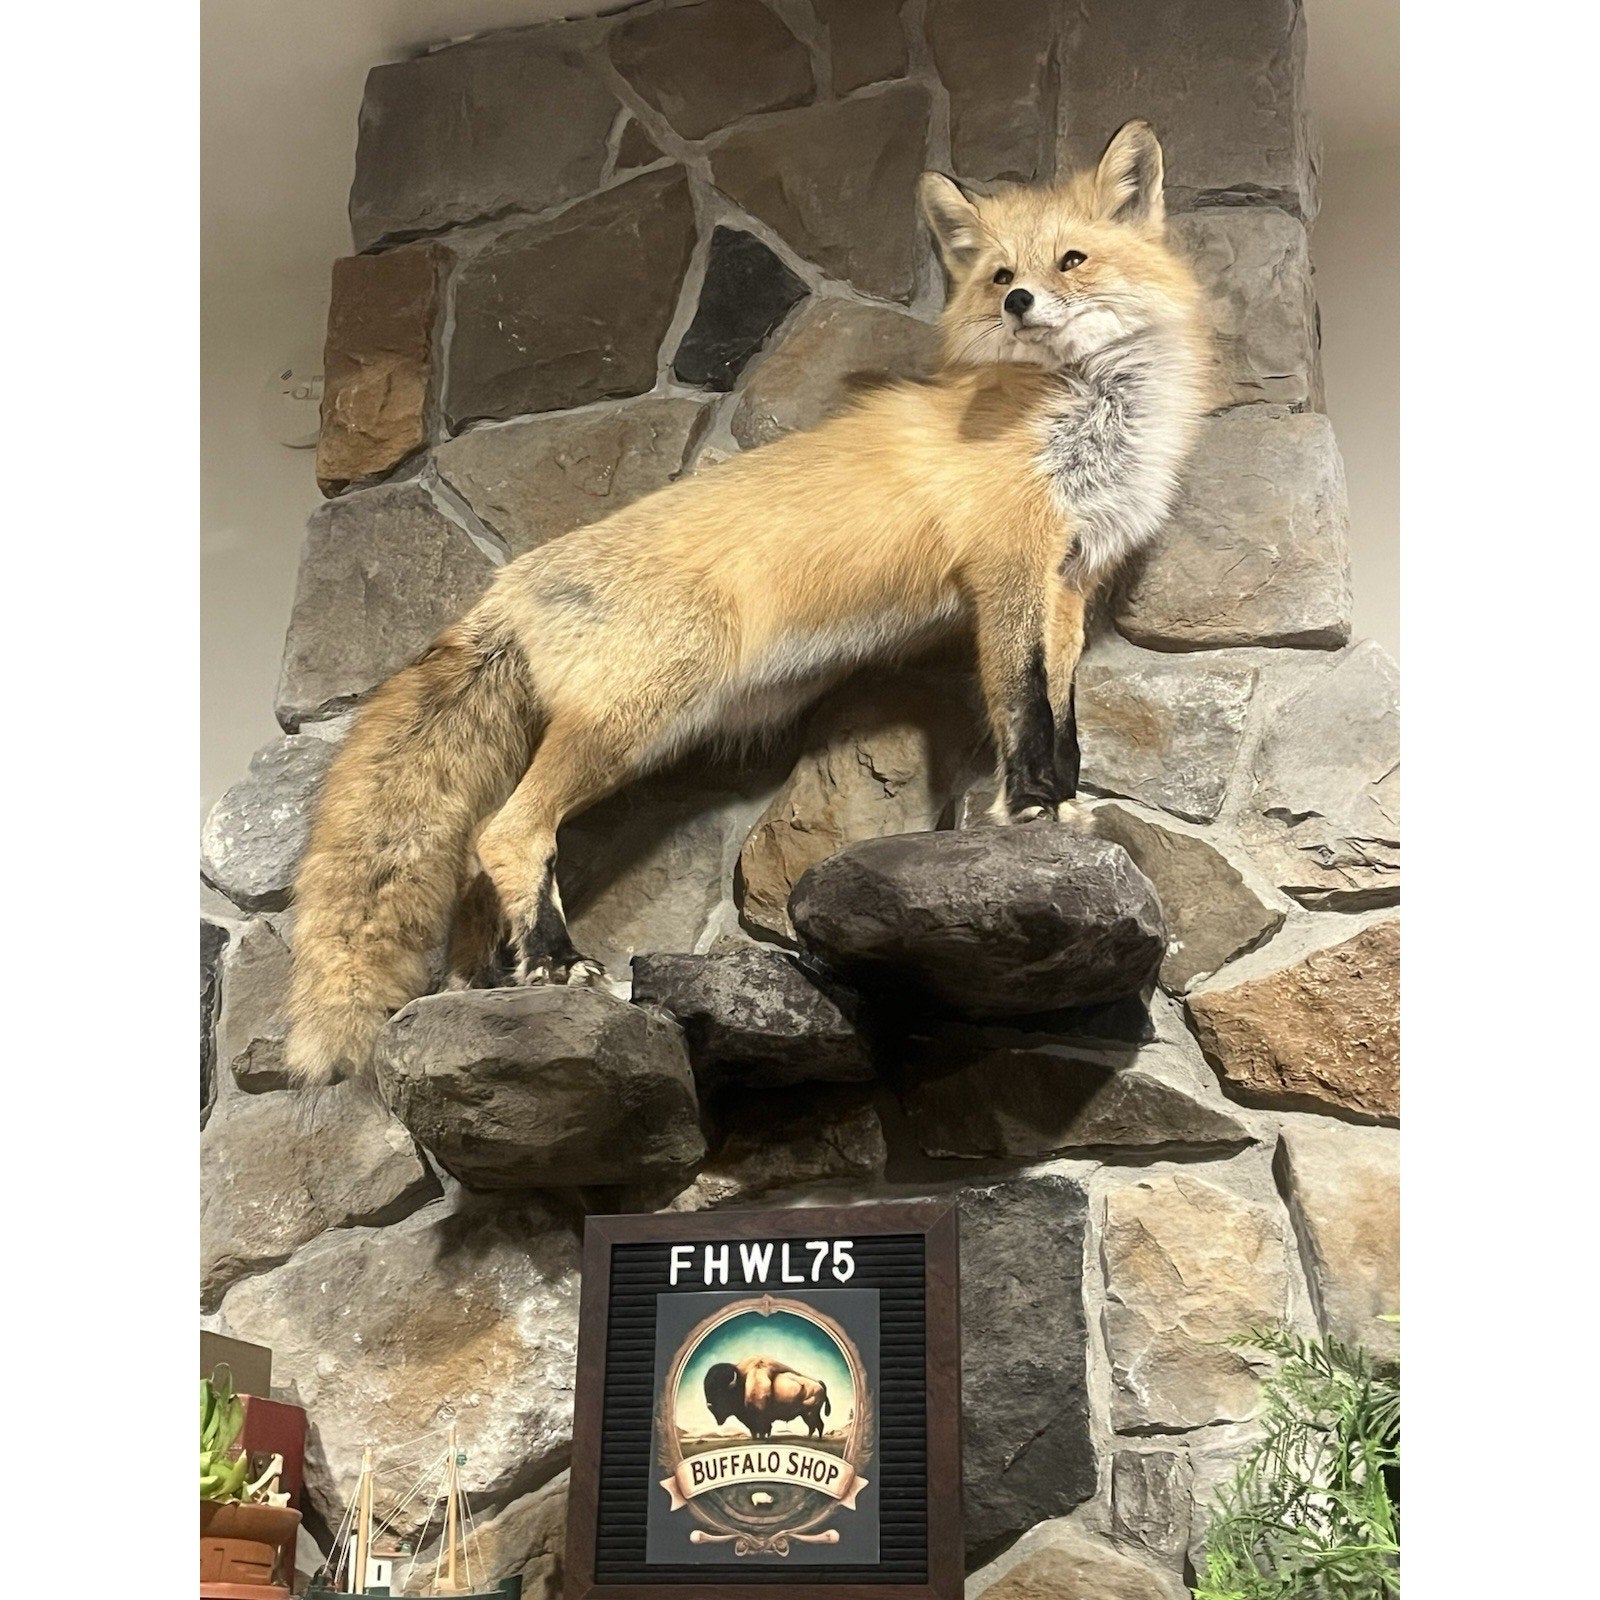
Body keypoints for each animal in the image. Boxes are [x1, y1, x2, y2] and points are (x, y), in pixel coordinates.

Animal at [284, 119, 1209, 1088]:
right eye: (1000, 276)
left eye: (1071, 260)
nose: (1023, 302)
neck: (1080, 414)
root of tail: (507, 585)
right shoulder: (1009, 574)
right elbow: (1023, 705)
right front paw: (1028, 811)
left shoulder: (1068, 581)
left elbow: (1062, 712)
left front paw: (1063, 806)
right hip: (638, 717)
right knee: (505, 834)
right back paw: (558, 965)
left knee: (477, 859)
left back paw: (511, 974)